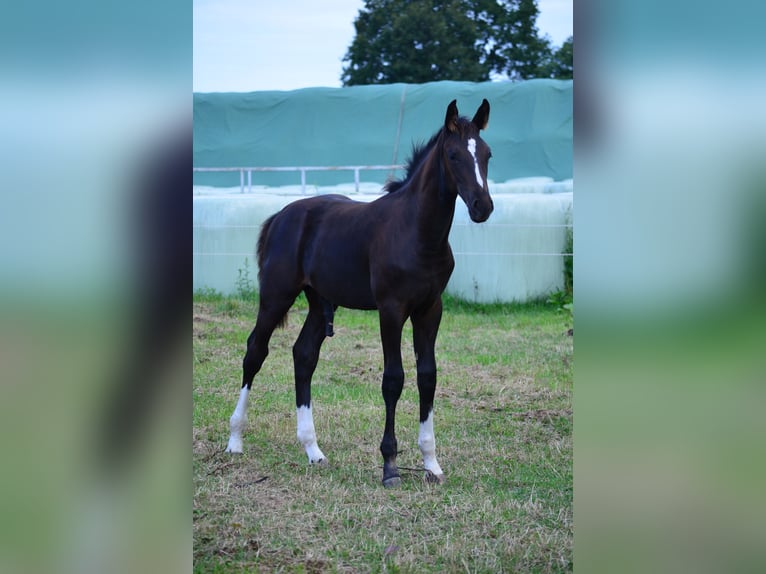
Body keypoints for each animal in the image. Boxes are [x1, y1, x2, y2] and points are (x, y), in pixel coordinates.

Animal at [225, 99, 493, 487]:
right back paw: (235, 440)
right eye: (454, 155)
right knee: (255, 351)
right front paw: (390, 466)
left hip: (320, 302)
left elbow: (427, 376)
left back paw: (313, 450)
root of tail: (280, 216)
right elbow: (393, 379)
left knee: (303, 355)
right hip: (276, 295)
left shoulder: (430, 309)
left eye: (487, 154)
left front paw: (431, 463)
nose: (482, 207)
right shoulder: (391, 309)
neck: (416, 231)